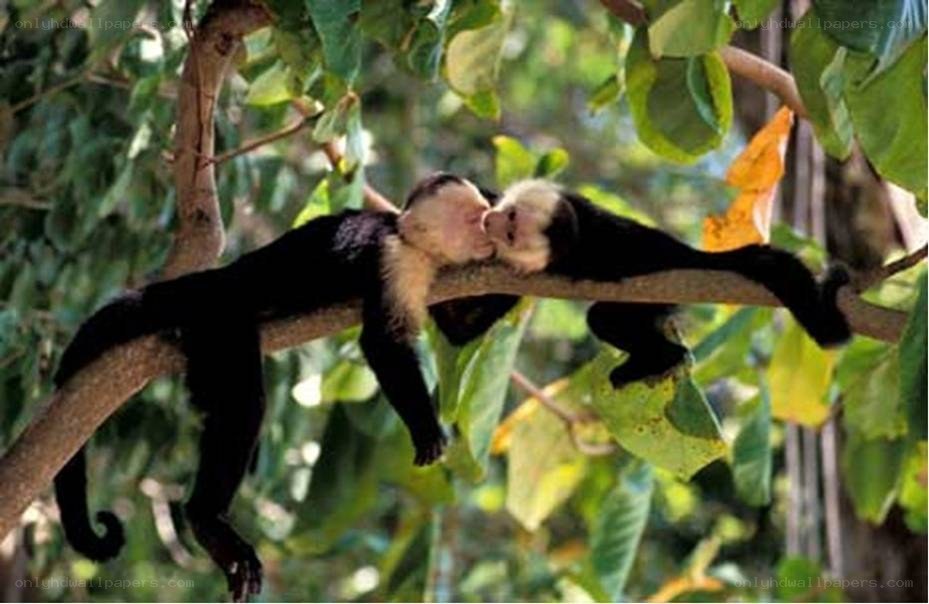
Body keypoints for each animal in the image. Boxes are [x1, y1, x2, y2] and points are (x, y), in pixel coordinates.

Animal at [51, 173, 495, 601]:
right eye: (475, 219)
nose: (490, 231)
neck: (410, 239)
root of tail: (218, 279)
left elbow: (458, 331)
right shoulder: (394, 260)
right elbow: (383, 344)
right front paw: (425, 429)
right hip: (221, 321)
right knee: (244, 407)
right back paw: (207, 519)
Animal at [431, 178, 851, 386]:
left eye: (512, 231)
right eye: (509, 215)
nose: (492, 221)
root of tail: (690, 257)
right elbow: (462, 327)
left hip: (659, 288)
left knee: (604, 318)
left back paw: (663, 357)